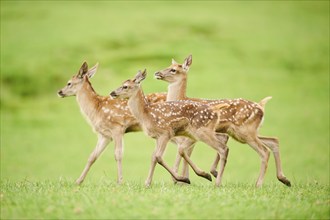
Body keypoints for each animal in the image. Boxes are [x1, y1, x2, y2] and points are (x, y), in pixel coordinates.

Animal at [155, 55, 292, 187]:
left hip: (245, 131)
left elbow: (183, 152)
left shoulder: (195, 133)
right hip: (245, 132)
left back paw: (258, 184)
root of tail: (261, 107)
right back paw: (284, 179)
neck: (182, 98)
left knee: (264, 151)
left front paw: (188, 179)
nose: (157, 73)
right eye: (168, 65)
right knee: (274, 140)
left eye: (173, 70)